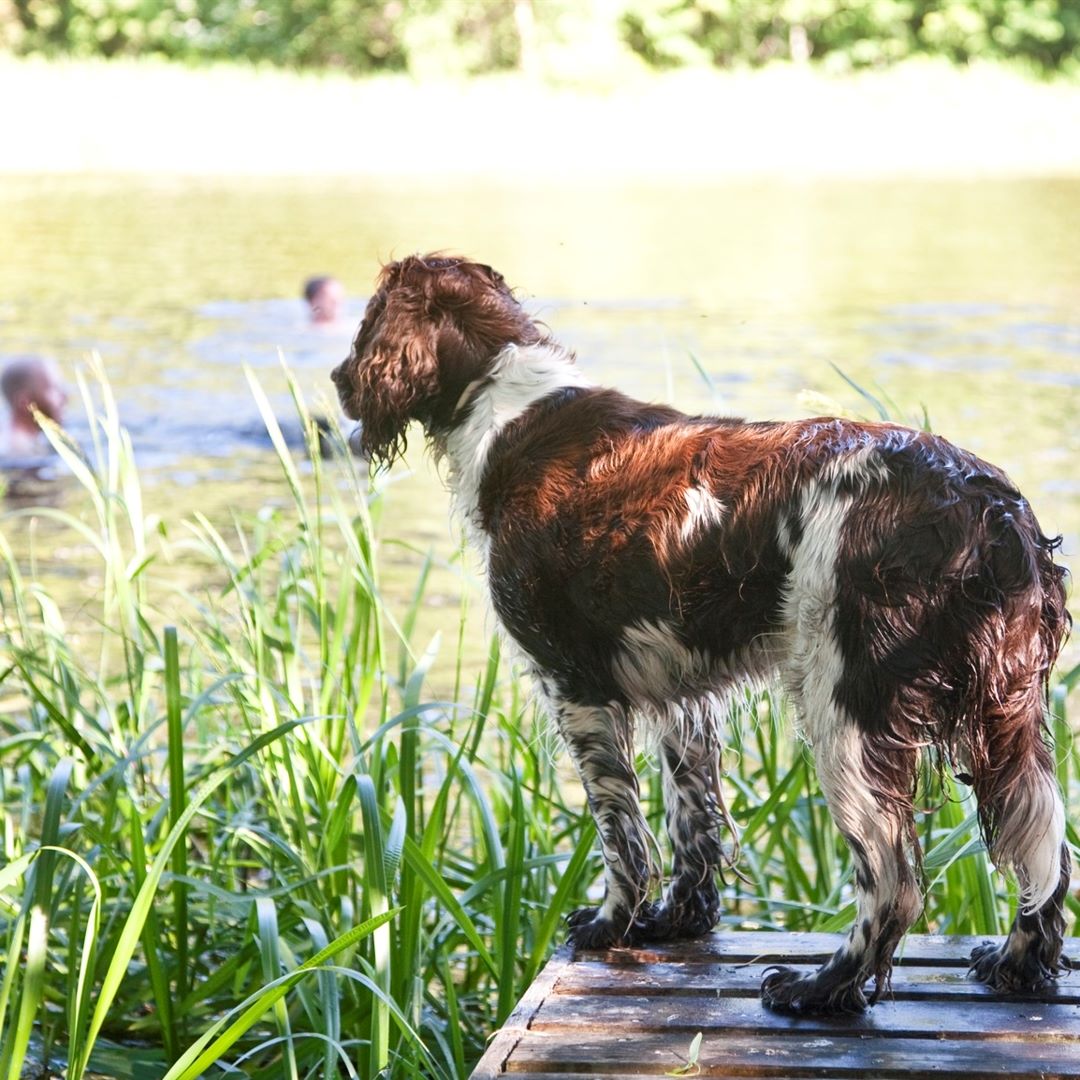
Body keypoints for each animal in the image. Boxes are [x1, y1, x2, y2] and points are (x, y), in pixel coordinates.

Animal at [330, 252, 1071, 1010]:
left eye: (366, 320)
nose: (336, 380)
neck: (504, 402)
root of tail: (989, 507)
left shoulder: (576, 688)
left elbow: (621, 833)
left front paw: (611, 925)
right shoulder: (682, 696)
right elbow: (694, 823)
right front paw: (678, 921)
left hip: (845, 707)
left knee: (892, 876)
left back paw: (821, 988)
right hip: (1007, 714)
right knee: (1047, 847)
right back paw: (1015, 963)